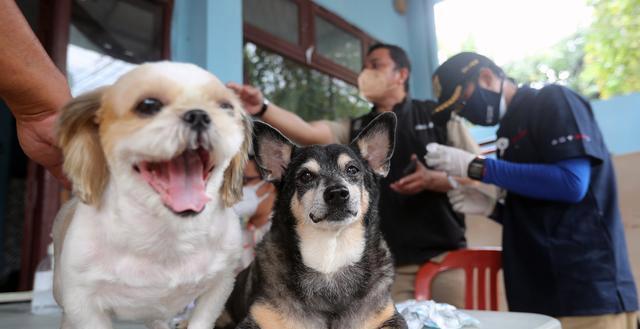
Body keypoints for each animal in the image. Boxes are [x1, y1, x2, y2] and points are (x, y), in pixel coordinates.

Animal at [51, 62, 250, 328]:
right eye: (148, 105)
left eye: (226, 107)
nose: (199, 114)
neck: (167, 236)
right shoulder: (82, 301)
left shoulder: (221, 284)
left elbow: (201, 319)